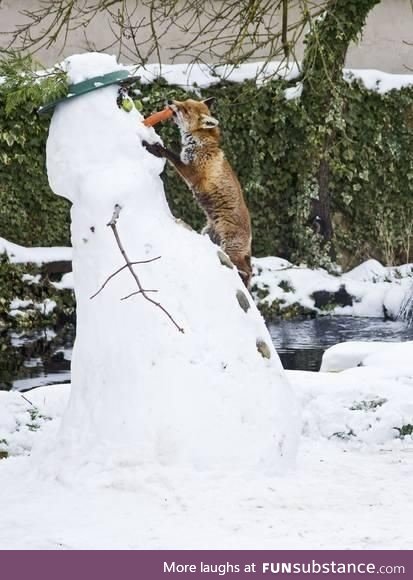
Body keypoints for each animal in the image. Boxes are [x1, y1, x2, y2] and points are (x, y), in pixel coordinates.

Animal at [142, 99, 251, 290]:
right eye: (183, 100)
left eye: (185, 109)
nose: (170, 101)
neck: (200, 144)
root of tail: (251, 239)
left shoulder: (191, 173)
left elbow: (170, 155)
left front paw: (155, 147)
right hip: (209, 235)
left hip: (230, 249)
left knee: (246, 271)